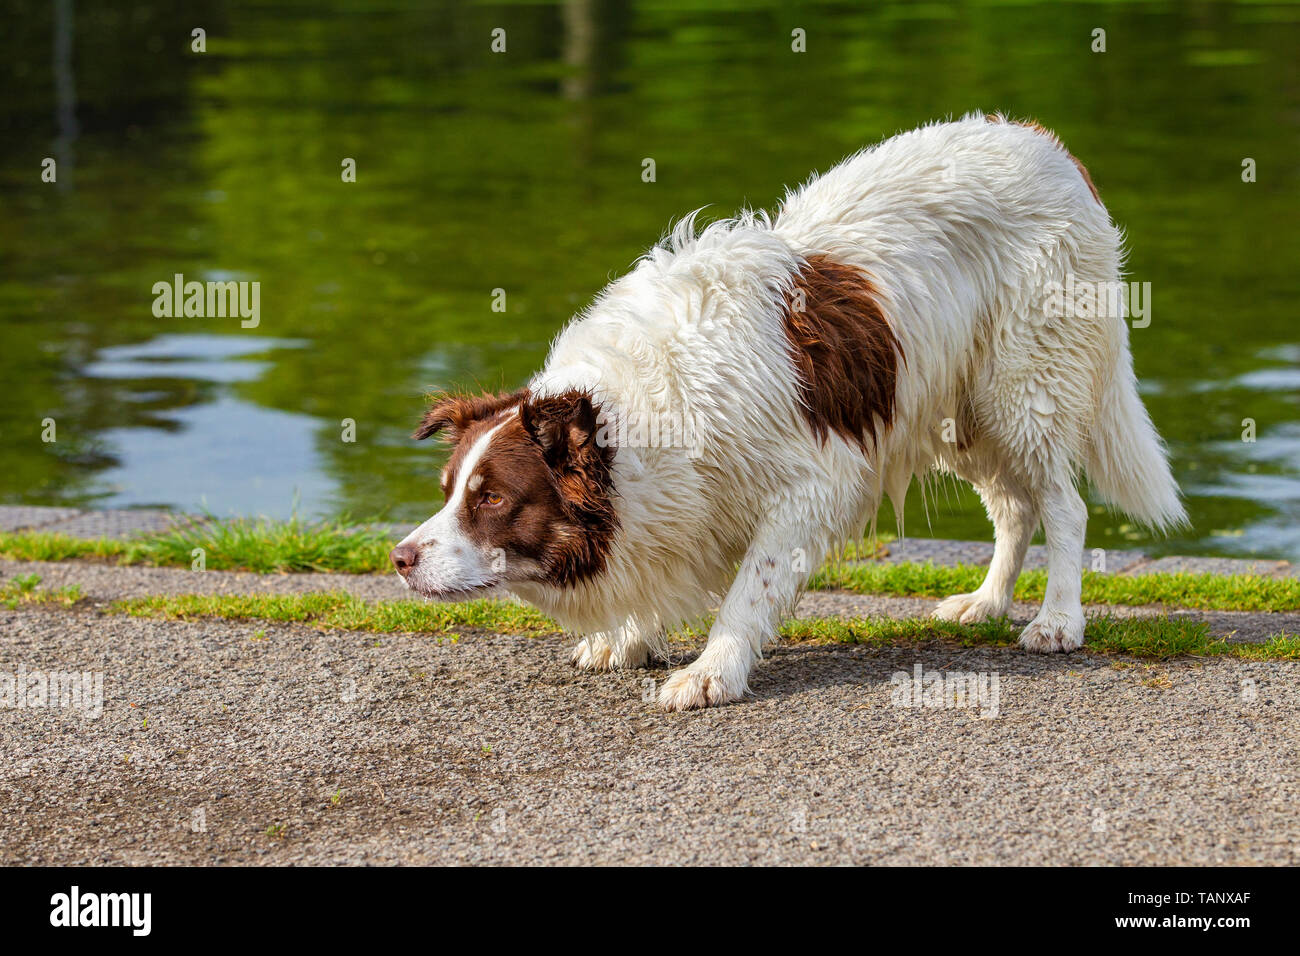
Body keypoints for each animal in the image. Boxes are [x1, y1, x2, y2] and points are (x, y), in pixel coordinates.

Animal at [390, 111, 1185, 712]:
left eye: (493, 498)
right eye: (448, 492)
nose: (398, 559)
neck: (643, 418)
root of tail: (1046, 143)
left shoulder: (813, 486)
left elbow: (750, 590)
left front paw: (711, 672)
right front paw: (631, 636)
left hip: (1022, 389)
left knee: (1063, 505)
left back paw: (1057, 620)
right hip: (957, 409)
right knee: (1016, 508)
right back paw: (985, 604)